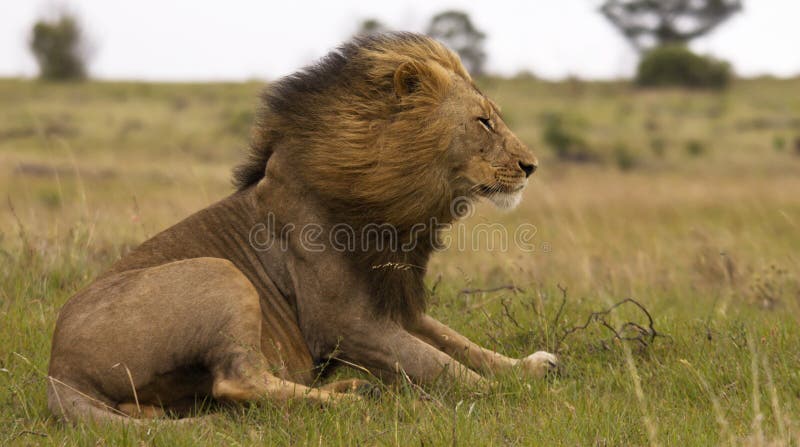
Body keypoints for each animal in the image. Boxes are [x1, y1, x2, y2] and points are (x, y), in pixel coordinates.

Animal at [45, 34, 556, 424]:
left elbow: (457, 343)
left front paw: (528, 367)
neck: (393, 198)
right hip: (220, 273)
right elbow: (441, 364)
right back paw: (358, 400)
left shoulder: (393, 300)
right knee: (237, 380)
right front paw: (514, 396)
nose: (531, 166)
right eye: (483, 122)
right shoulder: (341, 323)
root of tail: (58, 371)